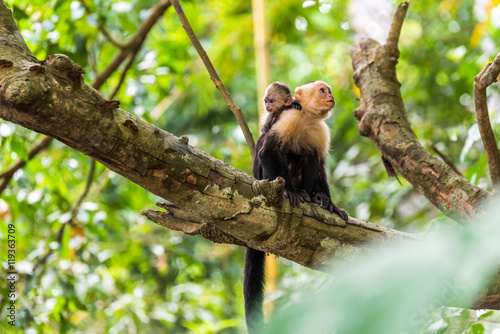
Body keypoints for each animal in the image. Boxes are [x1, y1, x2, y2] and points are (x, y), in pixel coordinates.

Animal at [245, 81, 348, 334]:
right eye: (322, 90)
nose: (330, 96)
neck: (308, 118)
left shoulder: (322, 131)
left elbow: (319, 162)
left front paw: (330, 202)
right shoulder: (288, 118)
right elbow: (268, 151)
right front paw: (288, 192)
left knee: (309, 153)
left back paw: (314, 197)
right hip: (262, 176)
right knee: (283, 151)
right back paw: (294, 191)